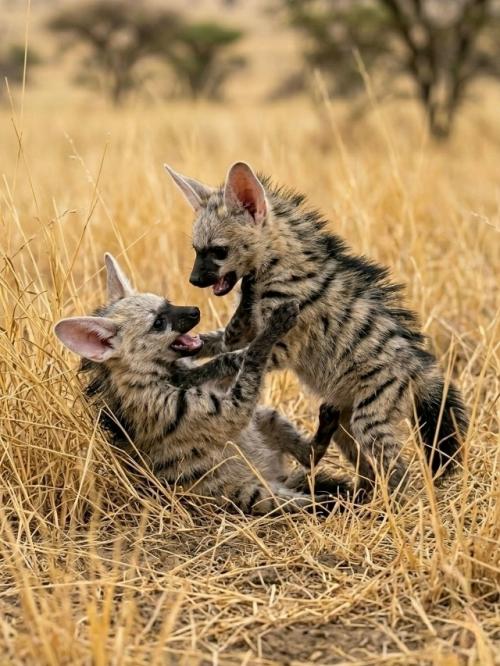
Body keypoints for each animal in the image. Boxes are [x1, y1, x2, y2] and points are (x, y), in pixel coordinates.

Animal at [54, 254, 341, 514]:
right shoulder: (222, 411)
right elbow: (251, 359)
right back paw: (335, 498)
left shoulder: (211, 383)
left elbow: (224, 361)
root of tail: (273, 475)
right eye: (158, 323)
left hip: (266, 418)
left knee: (307, 454)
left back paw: (327, 424)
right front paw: (274, 325)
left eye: (168, 303)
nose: (195, 310)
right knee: (306, 498)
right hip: (252, 495)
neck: (164, 374)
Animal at [165, 161, 468, 494]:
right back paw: (360, 495)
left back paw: (389, 501)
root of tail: (418, 368)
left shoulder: (283, 345)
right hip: (343, 413)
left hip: (372, 413)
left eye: (218, 251)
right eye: (196, 249)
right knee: (359, 455)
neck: (276, 267)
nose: (193, 280)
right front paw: (184, 348)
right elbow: (218, 341)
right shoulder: (250, 329)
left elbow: (233, 358)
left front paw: (188, 375)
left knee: (398, 470)